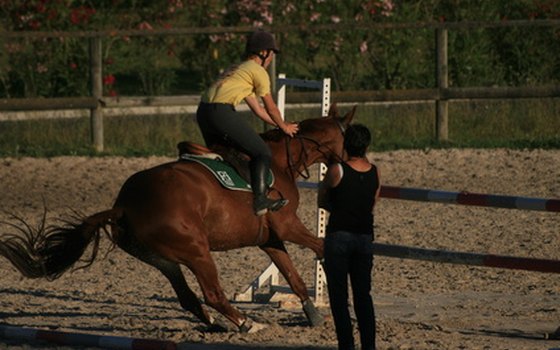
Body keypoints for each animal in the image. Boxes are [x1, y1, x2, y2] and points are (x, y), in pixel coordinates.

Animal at [0, 104, 354, 334]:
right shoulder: (288, 226)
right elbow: (320, 246)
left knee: (187, 297)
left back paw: (217, 326)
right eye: (349, 139)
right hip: (197, 251)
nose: (352, 164)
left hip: (162, 258)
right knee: (212, 293)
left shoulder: (270, 238)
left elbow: (292, 275)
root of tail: (124, 206)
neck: (281, 161)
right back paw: (246, 323)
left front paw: (314, 317)